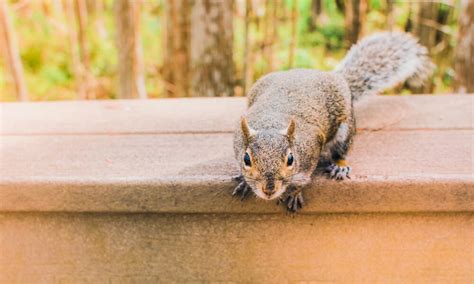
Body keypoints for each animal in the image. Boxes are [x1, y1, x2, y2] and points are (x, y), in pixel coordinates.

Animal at [231, 32, 434, 212]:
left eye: (290, 159)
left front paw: (295, 192)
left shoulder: (312, 148)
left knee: (341, 150)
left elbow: (304, 178)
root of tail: (335, 76)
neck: (271, 123)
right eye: (246, 159)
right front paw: (244, 181)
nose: (269, 190)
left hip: (345, 127)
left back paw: (340, 166)